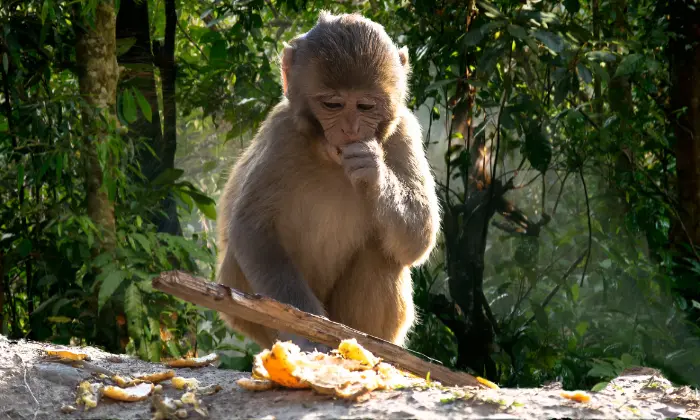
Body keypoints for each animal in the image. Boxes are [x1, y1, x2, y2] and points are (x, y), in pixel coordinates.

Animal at [215, 11, 440, 352]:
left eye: (366, 106)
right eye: (333, 104)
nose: (350, 130)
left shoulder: (405, 130)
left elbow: (419, 237)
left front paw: (373, 169)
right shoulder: (282, 135)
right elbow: (252, 231)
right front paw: (309, 338)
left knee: (384, 253)